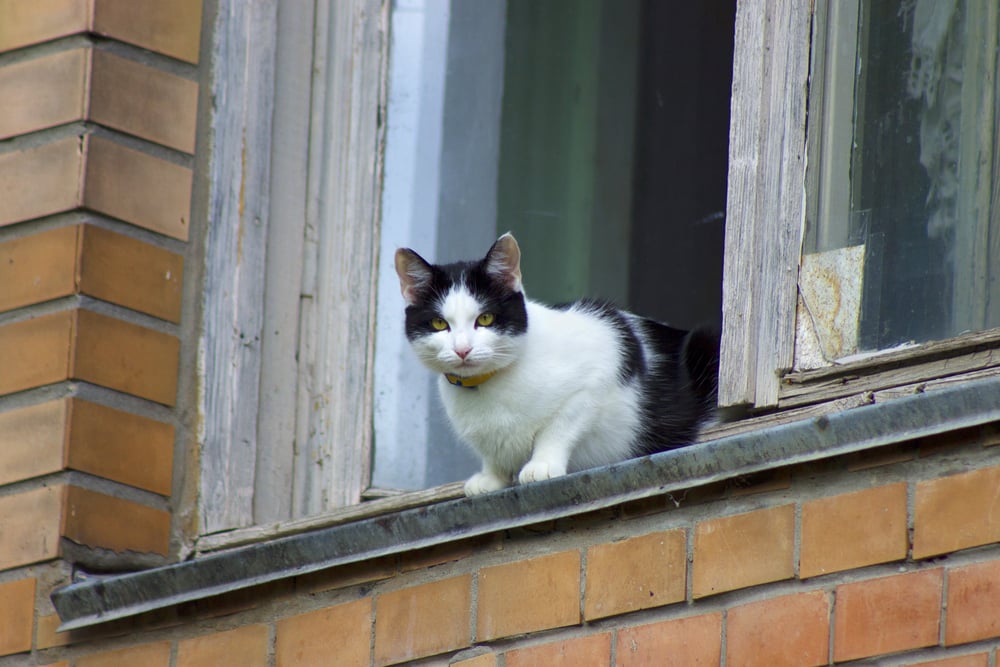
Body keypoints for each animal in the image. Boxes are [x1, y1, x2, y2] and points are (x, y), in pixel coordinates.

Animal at [392, 234, 720, 496]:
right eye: (439, 323)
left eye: (485, 318)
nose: (462, 349)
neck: (486, 389)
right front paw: (492, 476)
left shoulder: (597, 373)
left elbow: (559, 427)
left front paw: (542, 464)